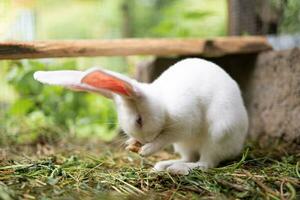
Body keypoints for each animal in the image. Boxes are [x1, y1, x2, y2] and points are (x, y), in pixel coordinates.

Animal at [33, 58, 248, 175]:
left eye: (139, 120)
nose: (142, 141)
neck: (163, 107)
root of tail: (237, 146)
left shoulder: (184, 125)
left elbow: (164, 138)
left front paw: (146, 150)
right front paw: (132, 145)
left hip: (218, 134)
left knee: (206, 162)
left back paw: (178, 169)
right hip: (185, 145)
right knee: (189, 157)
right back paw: (165, 165)